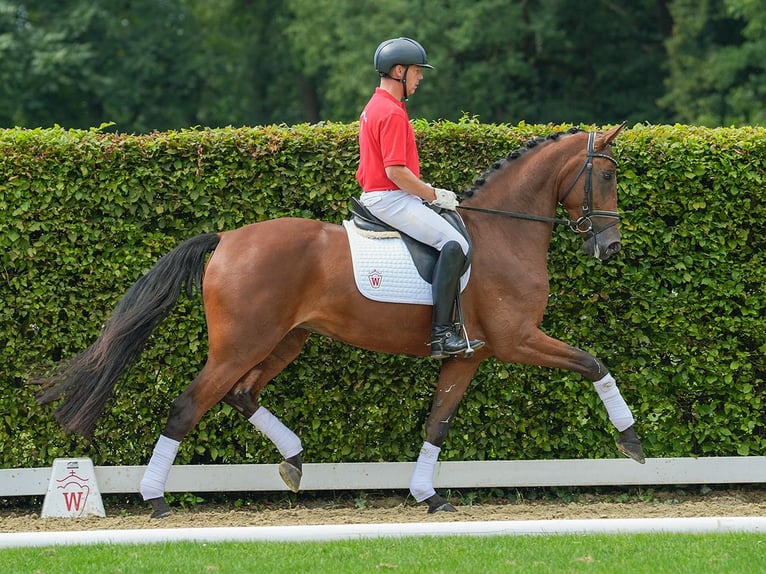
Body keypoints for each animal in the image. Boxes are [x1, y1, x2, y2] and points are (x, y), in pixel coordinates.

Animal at [37, 124, 648, 520]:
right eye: (607, 176)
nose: (611, 247)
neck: (502, 232)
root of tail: (228, 238)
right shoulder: (518, 339)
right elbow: (593, 362)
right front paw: (632, 441)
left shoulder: (468, 355)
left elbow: (438, 424)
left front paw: (428, 495)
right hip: (241, 344)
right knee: (189, 406)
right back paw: (156, 499)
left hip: (286, 339)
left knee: (242, 393)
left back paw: (293, 459)